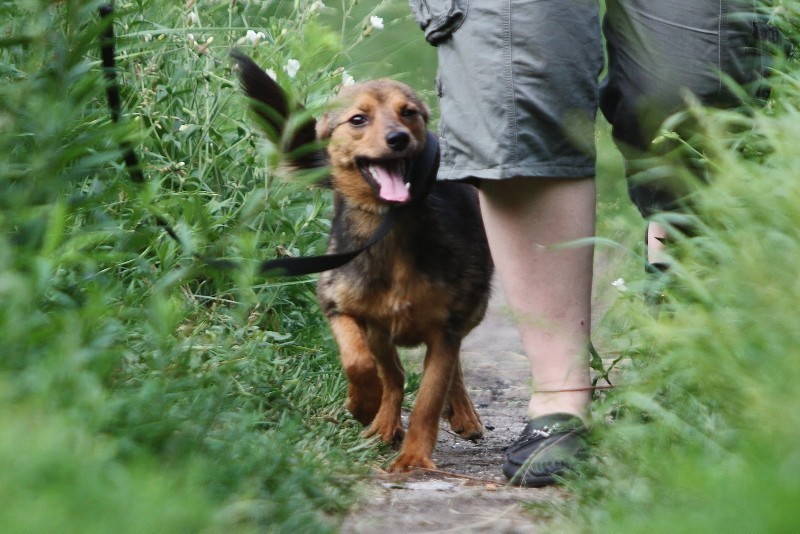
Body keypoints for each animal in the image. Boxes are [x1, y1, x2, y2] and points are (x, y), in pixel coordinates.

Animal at [233, 53, 494, 474]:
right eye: (358, 119)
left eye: (409, 114)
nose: (398, 138)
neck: (390, 225)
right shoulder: (339, 306)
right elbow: (360, 363)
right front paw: (363, 405)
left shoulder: (446, 328)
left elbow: (428, 399)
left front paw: (414, 458)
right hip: (379, 328)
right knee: (395, 374)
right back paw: (383, 424)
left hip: (471, 309)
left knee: (447, 369)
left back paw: (462, 413)